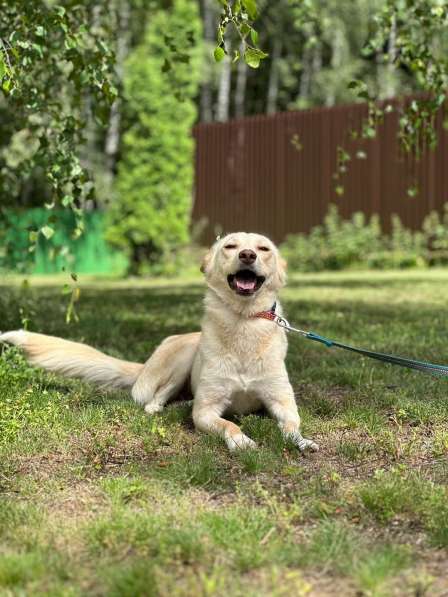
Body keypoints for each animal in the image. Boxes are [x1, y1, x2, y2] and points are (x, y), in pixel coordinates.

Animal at [0, 233, 318, 452]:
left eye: (264, 249)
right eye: (230, 246)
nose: (248, 255)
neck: (243, 323)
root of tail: (144, 367)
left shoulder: (281, 402)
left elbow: (292, 425)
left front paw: (301, 441)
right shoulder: (206, 411)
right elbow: (228, 424)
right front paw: (241, 442)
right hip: (183, 358)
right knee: (157, 398)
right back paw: (161, 408)